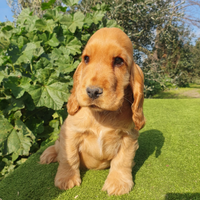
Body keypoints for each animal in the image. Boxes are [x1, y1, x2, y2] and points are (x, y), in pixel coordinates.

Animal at [39, 27, 145, 196]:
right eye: (86, 59)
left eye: (118, 61)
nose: (93, 91)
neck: (102, 115)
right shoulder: (70, 133)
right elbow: (69, 157)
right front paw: (66, 178)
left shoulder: (129, 137)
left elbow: (123, 161)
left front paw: (118, 183)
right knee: (56, 145)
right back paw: (48, 154)